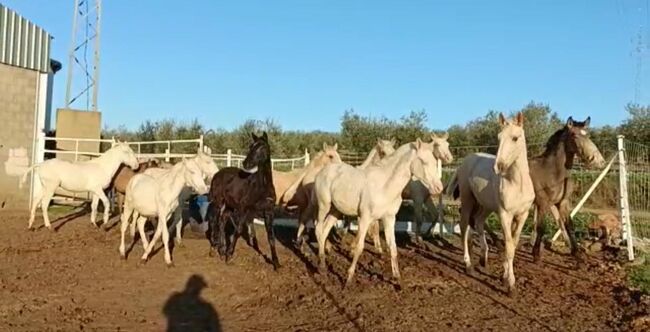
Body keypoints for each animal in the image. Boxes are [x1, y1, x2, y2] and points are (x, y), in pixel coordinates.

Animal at [208, 132, 278, 270]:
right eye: (251, 146)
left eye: (262, 147)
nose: (246, 163)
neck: (262, 188)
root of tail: (218, 173)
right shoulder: (244, 209)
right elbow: (238, 230)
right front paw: (229, 255)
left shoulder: (269, 212)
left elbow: (271, 236)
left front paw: (276, 263)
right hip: (218, 202)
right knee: (214, 221)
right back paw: (214, 248)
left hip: (230, 205)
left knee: (222, 221)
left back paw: (222, 250)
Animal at [312, 139, 442, 286]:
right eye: (424, 161)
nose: (439, 188)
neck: (384, 185)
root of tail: (322, 171)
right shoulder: (365, 218)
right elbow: (360, 247)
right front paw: (349, 278)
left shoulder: (389, 219)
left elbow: (393, 247)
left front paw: (397, 279)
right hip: (324, 206)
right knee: (318, 228)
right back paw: (321, 266)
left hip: (336, 210)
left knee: (324, 231)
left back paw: (323, 262)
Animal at [446, 112, 532, 296]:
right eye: (499, 137)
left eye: (515, 138)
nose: (498, 167)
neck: (517, 184)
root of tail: (465, 161)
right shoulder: (504, 214)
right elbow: (508, 246)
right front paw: (510, 285)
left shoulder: (522, 215)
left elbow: (513, 245)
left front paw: (504, 276)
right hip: (468, 199)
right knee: (464, 226)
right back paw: (468, 264)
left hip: (485, 206)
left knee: (478, 222)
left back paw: (483, 259)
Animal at [528, 116, 604, 262]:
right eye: (574, 135)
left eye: (588, 135)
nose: (596, 160)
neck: (553, 171)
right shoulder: (543, 203)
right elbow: (541, 227)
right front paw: (536, 254)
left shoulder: (562, 203)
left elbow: (569, 226)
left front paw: (577, 252)